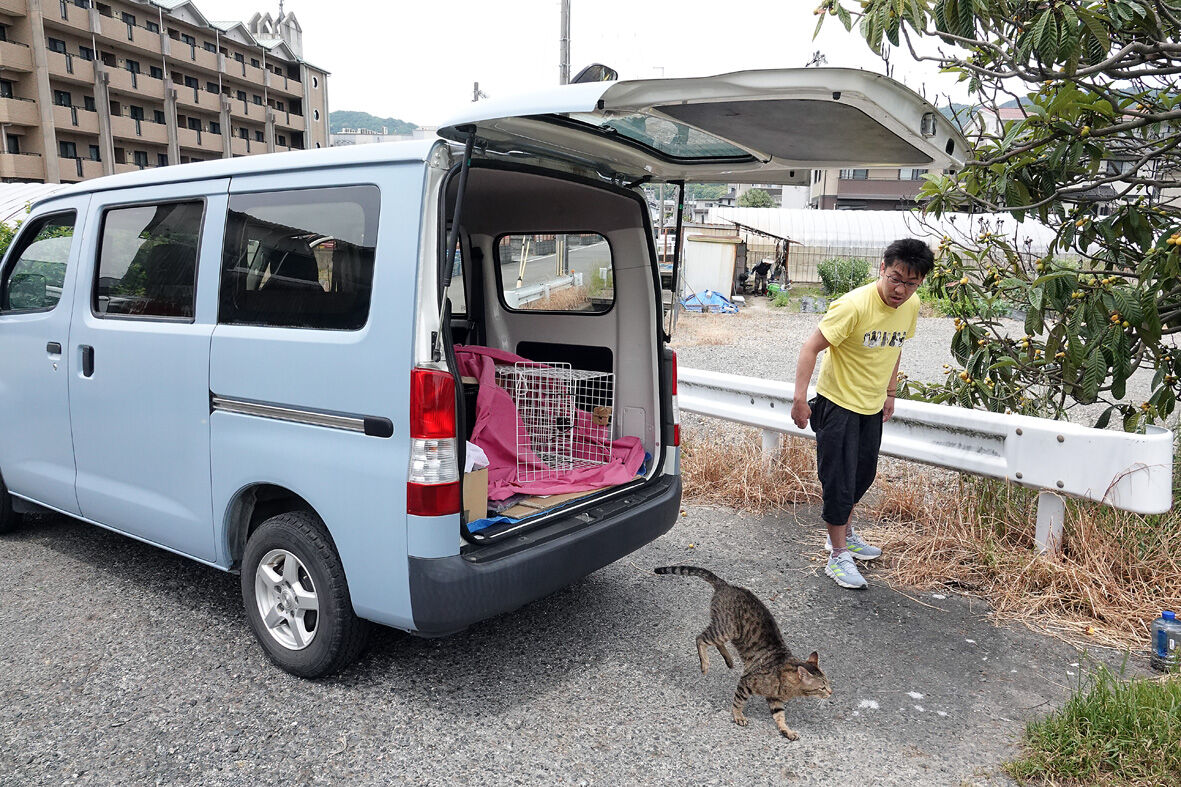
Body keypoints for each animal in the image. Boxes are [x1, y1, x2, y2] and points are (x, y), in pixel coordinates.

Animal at [654, 565, 833, 741]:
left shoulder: (775, 699)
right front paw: (738, 715)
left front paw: (786, 730)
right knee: (700, 638)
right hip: (725, 629)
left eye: (827, 684)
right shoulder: (746, 683)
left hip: (726, 631)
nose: (831, 692)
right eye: (822, 687)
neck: (787, 686)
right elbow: (738, 701)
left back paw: (729, 660)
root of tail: (726, 585)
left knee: (715, 643)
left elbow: (780, 716)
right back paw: (705, 664)